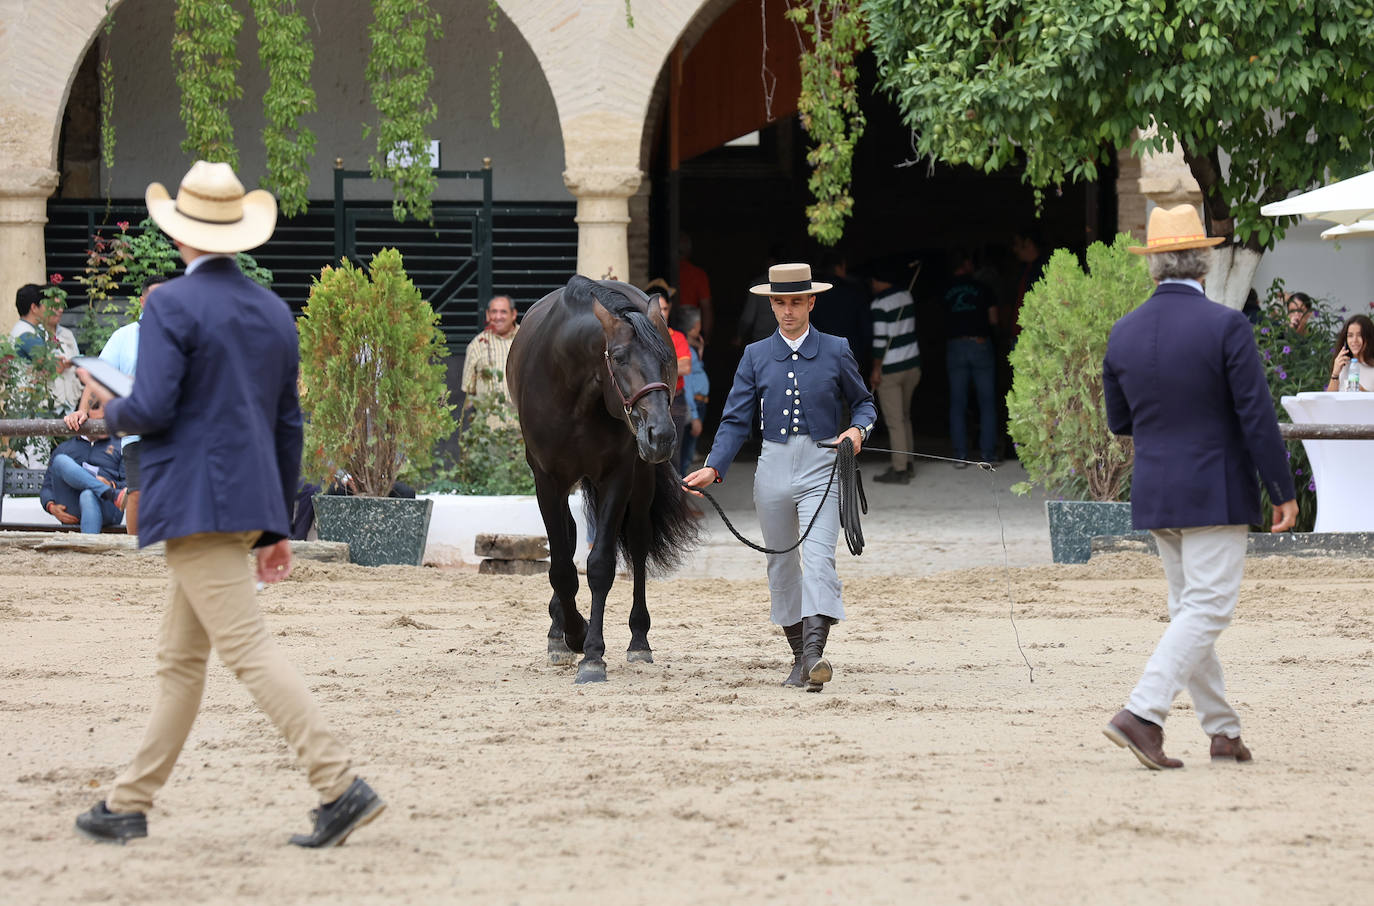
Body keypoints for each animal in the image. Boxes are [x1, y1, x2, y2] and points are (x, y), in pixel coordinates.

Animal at [505, 274, 697, 681]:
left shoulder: (618, 475)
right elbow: (562, 567)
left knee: (637, 542)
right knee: (568, 538)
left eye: (666, 358)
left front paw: (592, 652)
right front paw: (571, 634)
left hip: (641, 477)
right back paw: (558, 629)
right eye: (620, 357)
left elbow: (600, 565)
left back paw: (638, 640)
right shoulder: (547, 479)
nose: (662, 435)